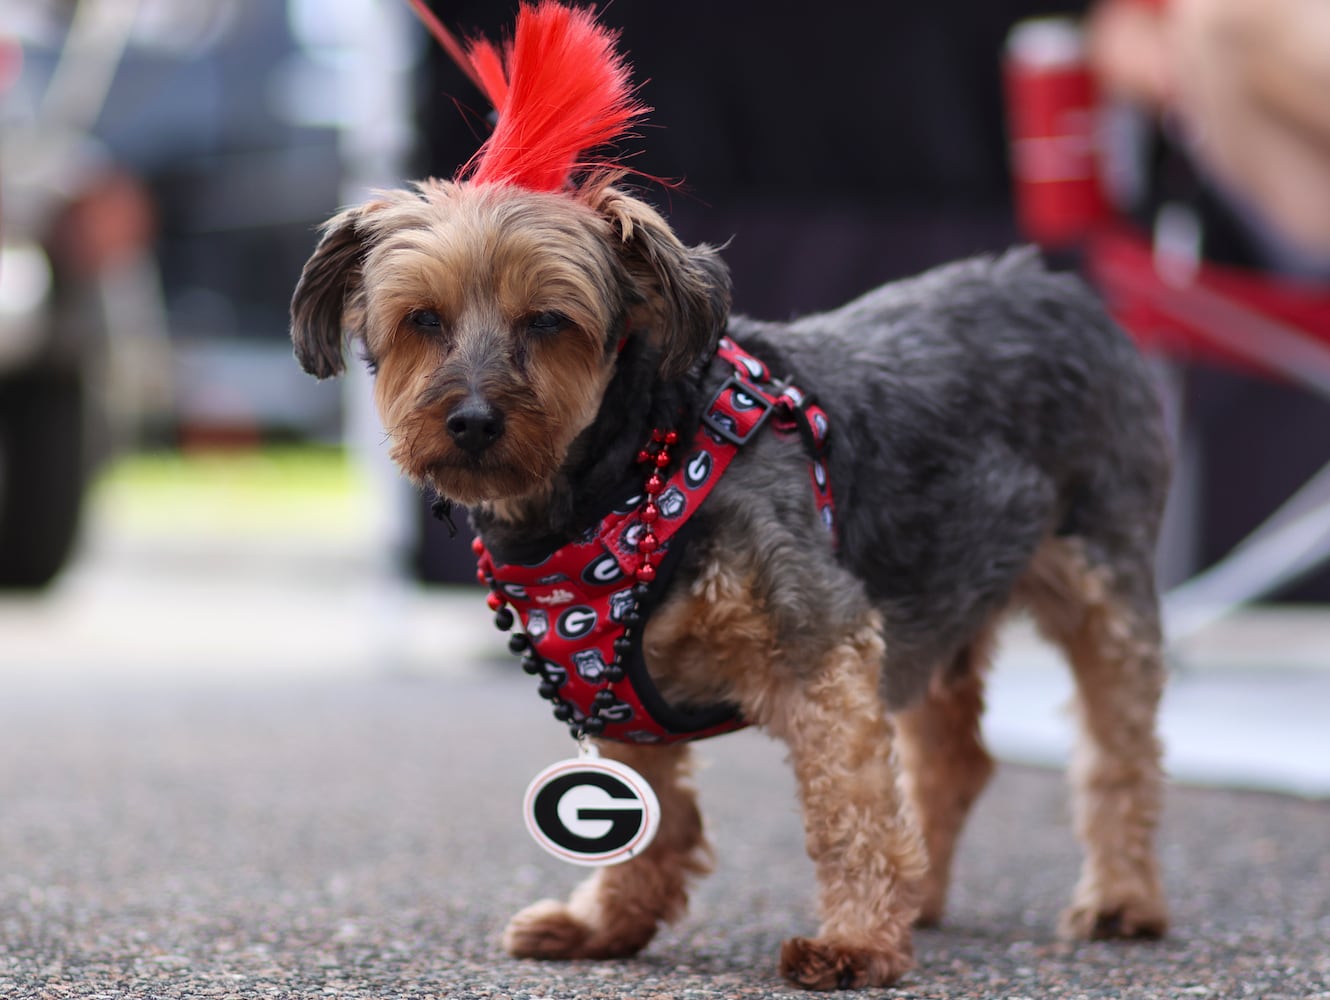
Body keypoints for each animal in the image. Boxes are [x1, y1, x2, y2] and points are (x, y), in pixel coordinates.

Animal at [285, 3, 1170, 989]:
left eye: (548, 321)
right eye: (422, 320)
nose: (472, 421)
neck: (620, 484)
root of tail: (1054, 284)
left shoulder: (822, 643)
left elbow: (849, 809)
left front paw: (857, 942)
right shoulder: (614, 689)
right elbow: (651, 819)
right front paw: (608, 924)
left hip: (1102, 577)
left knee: (1120, 750)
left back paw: (1121, 898)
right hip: (946, 590)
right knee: (955, 757)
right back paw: (926, 896)